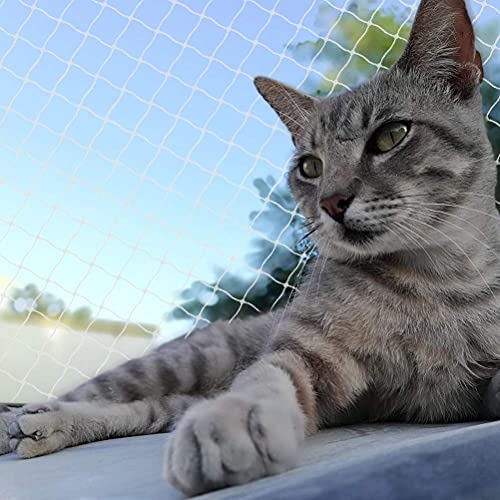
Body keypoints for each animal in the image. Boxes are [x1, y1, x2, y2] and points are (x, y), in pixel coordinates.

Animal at [0, 0, 500, 494]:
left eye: (391, 135)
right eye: (310, 166)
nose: (331, 202)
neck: (436, 280)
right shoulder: (306, 353)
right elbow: (262, 379)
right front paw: (231, 420)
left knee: (152, 410)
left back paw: (44, 426)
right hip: (183, 361)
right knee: (104, 394)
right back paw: (26, 420)